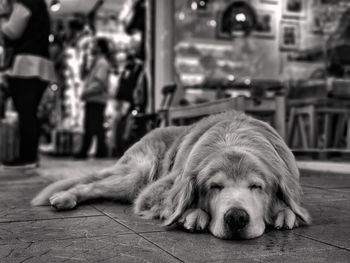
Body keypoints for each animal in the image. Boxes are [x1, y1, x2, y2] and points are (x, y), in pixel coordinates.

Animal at [32, 111, 312, 241]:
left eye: (256, 186)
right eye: (215, 187)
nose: (236, 217)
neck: (234, 138)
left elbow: (290, 206)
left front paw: (285, 212)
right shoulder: (155, 191)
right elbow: (177, 203)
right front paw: (193, 214)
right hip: (137, 175)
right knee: (91, 185)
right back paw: (64, 197)